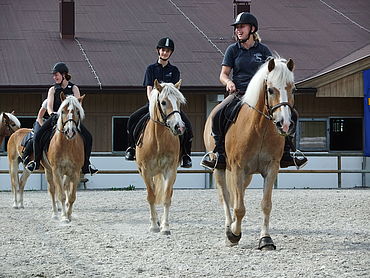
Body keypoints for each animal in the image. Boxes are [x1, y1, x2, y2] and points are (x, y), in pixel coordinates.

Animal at [42, 94, 85, 223]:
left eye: (77, 111)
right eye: (62, 111)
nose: (70, 132)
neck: (67, 145)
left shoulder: (75, 172)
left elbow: (71, 197)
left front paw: (69, 215)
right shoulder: (56, 170)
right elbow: (60, 194)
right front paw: (64, 217)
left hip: (67, 173)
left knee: (64, 187)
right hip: (49, 170)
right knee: (52, 190)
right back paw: (55, 213)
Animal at [135, 78, 186, 235]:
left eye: (179, 102)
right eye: (163, 102)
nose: (179, 127)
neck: (158, 140)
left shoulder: (170, 170)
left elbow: (166, 197)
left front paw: (165, 227)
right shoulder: (146, 171)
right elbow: (151, 196)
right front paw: (154, 225)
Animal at [204, 57, 296, 249]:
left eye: (293, 89)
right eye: (270, 89)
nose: (284, 124)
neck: (260, 129)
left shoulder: (271, 168)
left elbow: (266, 205)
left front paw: (266, 239)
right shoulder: (238, 168)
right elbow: (239, 208)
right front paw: (234, 234)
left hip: (247, 176)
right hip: (219, 168)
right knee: (225, 197)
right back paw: (229, 230)